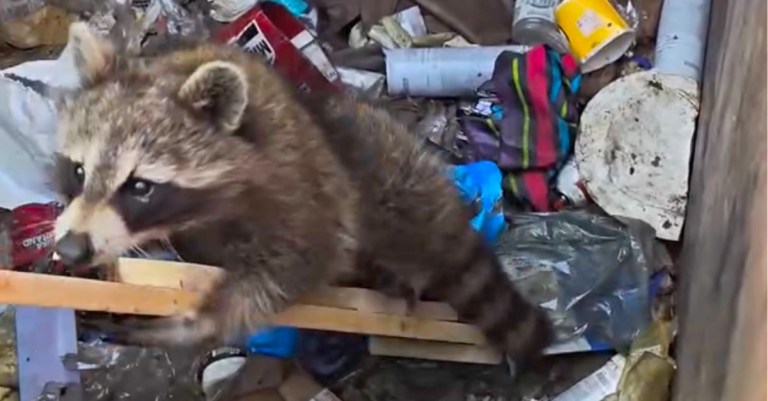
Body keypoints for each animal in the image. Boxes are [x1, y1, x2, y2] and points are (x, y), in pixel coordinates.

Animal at [52, 22, 554, 362]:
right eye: (78, 170)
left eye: (140, 186)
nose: (71, 248)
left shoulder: (299, 184)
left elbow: (295, 264)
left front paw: (198, 323)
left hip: (393, 173)